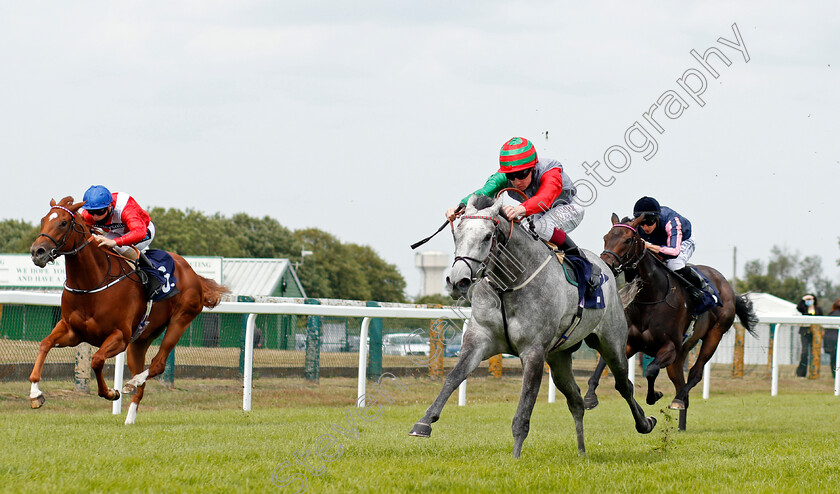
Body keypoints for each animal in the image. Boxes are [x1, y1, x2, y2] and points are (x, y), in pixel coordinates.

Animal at [29, 197, 228, 424]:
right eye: (43, 220)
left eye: (63, 223)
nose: (37, 252)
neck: (91, 283)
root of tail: (193, 273)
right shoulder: (73, 332)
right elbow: (45, 344)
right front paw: (35, 394)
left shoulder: (120, 336)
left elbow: (97, 360)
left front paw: (110, 392)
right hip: (140, 340)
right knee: (141, 385)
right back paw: (129, 417)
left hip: (180, 319)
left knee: (158, 364)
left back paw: (132, 382)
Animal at [406, 195, 656, 458]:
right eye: (457, 233)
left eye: (487, 236)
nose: (458, 281)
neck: (507, 285)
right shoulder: (479, 340)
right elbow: (454, 377)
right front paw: (423, 422)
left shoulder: (533, 352)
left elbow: (525, 407)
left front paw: (515, 457)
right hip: (558, 358)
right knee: (576, 400)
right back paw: (581, 452)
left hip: (612, 343)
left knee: (624, 385)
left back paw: (645, 423)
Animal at [584, 215, 760, 428]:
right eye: (606, 237)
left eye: (627, 240)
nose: (606, 264)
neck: (650, 298)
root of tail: (729, 288)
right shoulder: (630, 343)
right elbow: (604, 364)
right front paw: (590, 397)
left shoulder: (669, 347)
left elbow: (651, 370)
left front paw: (654, 395)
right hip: (682, 352)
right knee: (680, 382)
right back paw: (681, 424)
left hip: (714, 335)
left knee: (695, 374)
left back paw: (677, 400)